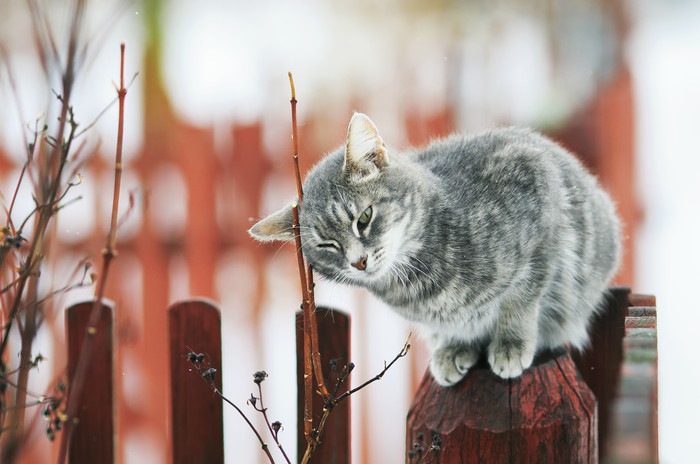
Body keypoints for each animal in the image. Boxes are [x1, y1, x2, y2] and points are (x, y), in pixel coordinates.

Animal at [249, 111, 620, 384]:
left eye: (364, 218)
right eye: (327, 244)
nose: (359, 261)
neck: (418, 285)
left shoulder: (540, 209)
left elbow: (521, 301)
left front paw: (511, 344)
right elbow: (456, 326)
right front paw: (455, 347)